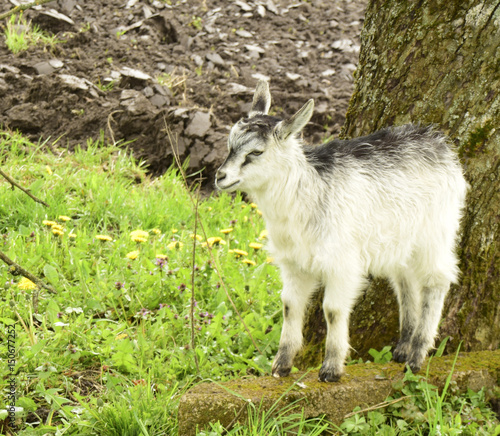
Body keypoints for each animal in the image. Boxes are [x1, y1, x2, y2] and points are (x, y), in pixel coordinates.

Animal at [216, 81, 468, 382]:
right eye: (229, 145)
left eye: (256, 153)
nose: (220, 177)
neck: (307, 194)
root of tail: (438, 142)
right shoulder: (293, 262)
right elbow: (289, 305)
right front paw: (281, 366)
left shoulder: (341, 262)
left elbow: (333, 310)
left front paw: (331, 368)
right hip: (399, 239)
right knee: (406, 281)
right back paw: (403, 348)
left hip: (436, 230)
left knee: (437, 279)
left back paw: (416, 356)